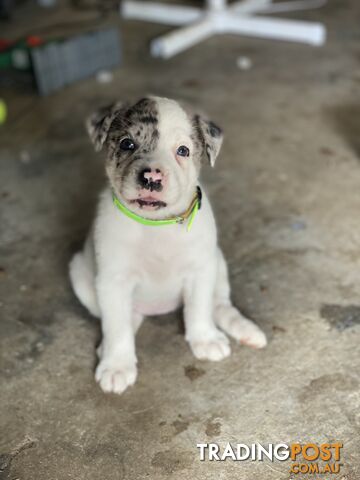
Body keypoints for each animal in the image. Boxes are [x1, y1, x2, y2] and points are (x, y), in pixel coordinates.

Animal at [69, 94, 268, 394]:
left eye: (183, 151)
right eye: (127, 144)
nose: (152, 178)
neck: (155, 225)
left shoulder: (200, 270)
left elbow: (199, 307)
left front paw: (204, 338)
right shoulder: (113, 280)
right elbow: (116, 325)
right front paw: (117, 365)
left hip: (218, 262)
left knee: (218, 303)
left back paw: (243, 329)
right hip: (81, 276)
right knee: (127, 317)